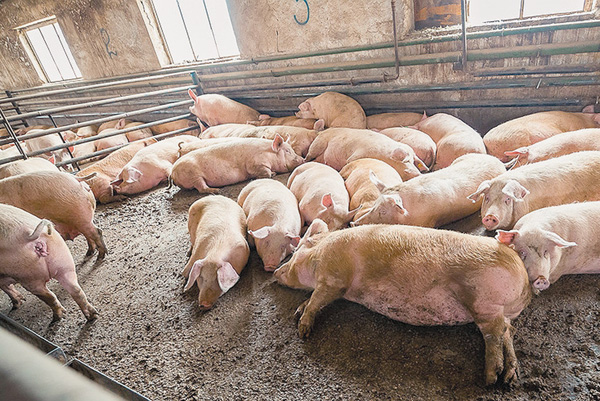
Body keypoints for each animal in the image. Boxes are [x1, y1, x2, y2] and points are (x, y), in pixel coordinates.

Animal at [171, 135, 304, 193]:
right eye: (287, 151)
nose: (302, 159)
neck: (269, 154)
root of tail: (172, 172)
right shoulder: (255, 164)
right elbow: (264, 172)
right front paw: (273, 173)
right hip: (194, 176)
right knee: (201, 188)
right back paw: (216, 190)